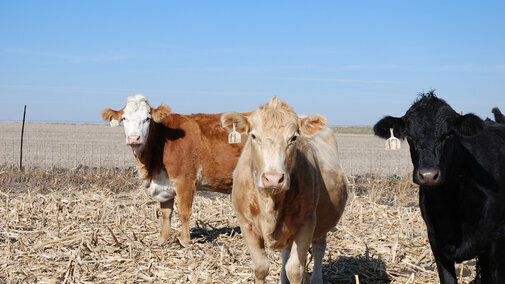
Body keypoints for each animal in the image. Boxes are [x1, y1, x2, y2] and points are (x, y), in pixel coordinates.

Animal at [101, 94, 246, 245]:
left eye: (147, 118)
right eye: (124, 118)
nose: (134, 138)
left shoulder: (185, 181)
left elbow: (183, 212)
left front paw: (185, 240)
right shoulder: (163, 184)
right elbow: (166, 213)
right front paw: (162, 239)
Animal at [220, 96, 346, 282]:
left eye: (293, 138)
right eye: (253, 136)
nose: (273, 179)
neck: (271, 205)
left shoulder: (307, 222)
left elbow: (294, 269)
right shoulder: (246, 224)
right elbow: (261, 268)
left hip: (323, 222)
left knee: (318, 249)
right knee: (286, 252)